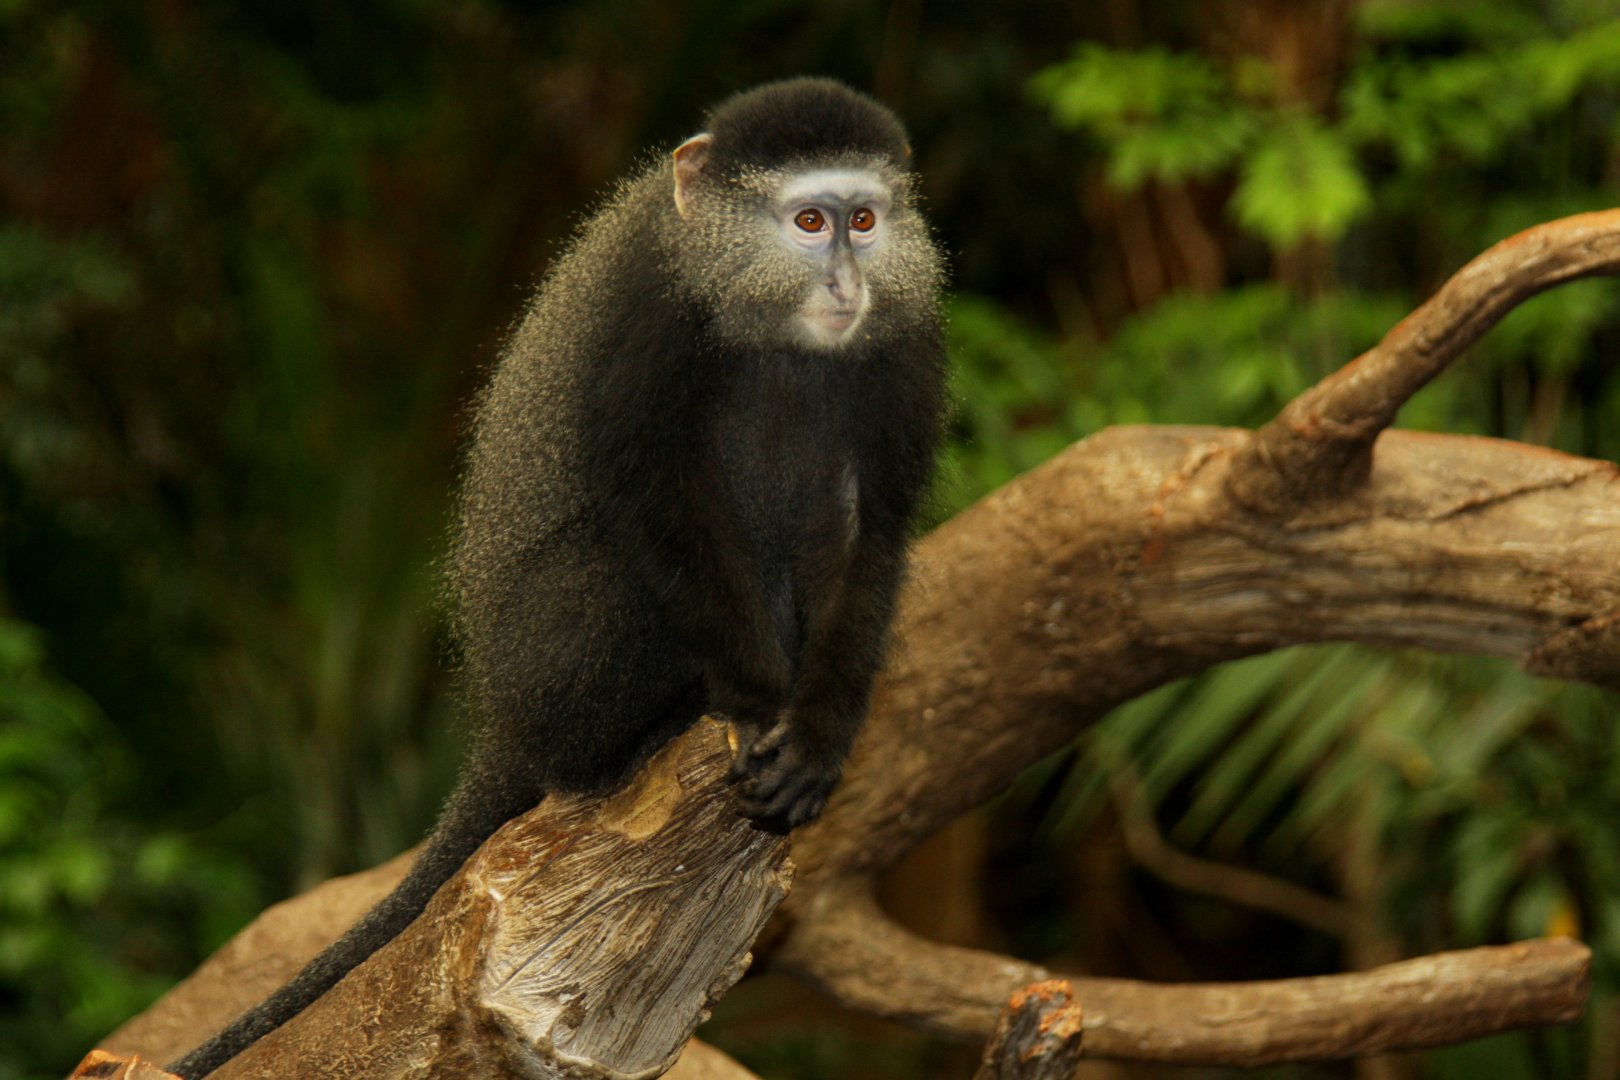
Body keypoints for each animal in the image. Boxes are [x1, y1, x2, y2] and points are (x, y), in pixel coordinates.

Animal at [167, 77, 945, 1078]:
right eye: (810, 222)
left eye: (865, 220)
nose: (848, 281)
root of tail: (502, 707)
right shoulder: (644, 305)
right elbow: (652, 500)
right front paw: (757, 702)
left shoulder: (909, 332)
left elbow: (870, 530)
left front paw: (816, 735)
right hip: (555, 659)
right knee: (613, 582)